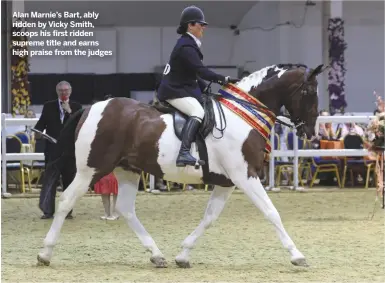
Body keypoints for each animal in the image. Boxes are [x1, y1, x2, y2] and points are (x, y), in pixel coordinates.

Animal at [35, 63, 324, 270]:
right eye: (309, 92)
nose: (311, 133)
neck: (243, 115)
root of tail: (90, 108)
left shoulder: (227, 182)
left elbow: (209, 218)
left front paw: (183, 255)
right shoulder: (245, 176)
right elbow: (271, 212)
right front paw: (297, 255)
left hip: (126, 169)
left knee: (126, 209)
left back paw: (156, 255)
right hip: (91, 169)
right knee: (66, 201)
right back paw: (45, 253)